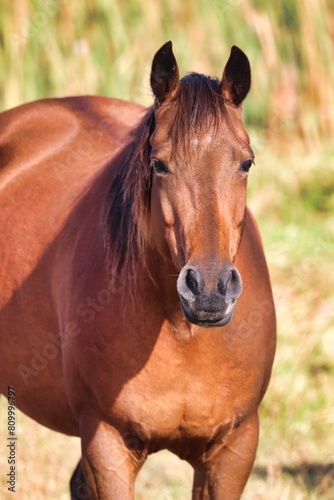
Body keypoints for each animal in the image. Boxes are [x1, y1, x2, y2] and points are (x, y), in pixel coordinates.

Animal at [0, 42, 276, 496]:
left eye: (246, 163)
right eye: (159, 164)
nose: (209, 290)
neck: (183, 335)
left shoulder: (233, 450)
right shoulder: (107, 443)